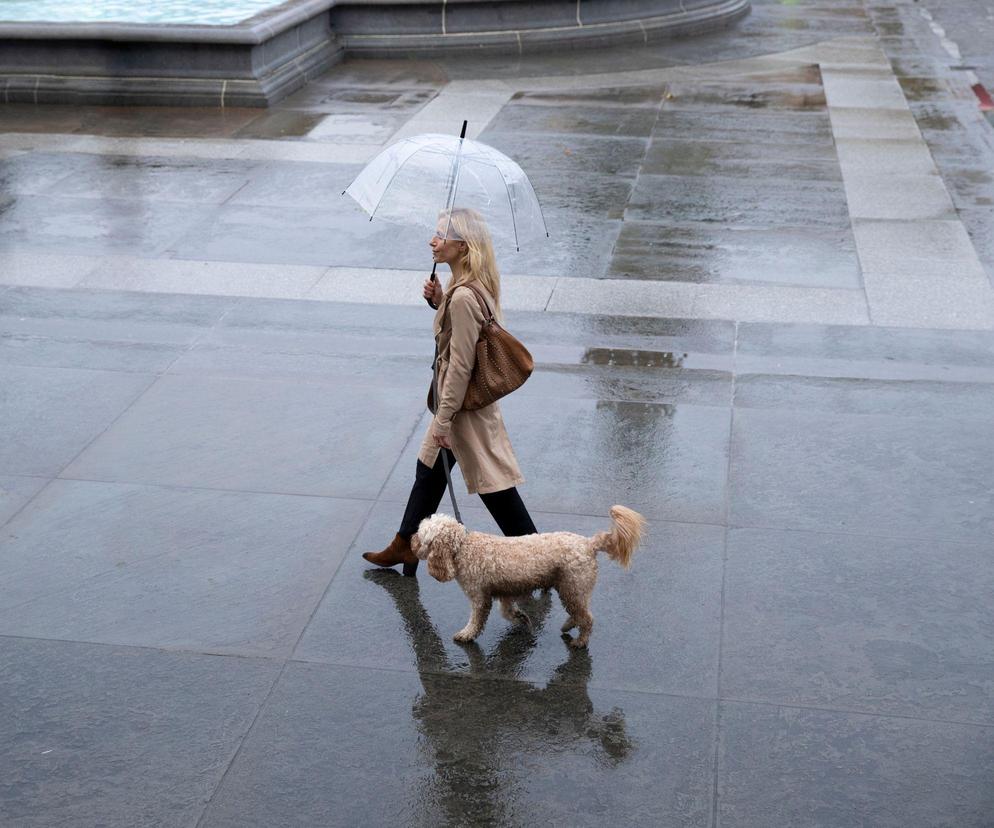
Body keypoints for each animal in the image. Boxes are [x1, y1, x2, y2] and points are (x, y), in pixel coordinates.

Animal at [408, 504, 644, 648]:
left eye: (421, 535)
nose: (411, 541)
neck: (463, 547)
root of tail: (589, 544)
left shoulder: (479, 597)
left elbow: (476, 620)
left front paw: (466, 634)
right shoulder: (504, 591)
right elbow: (507, 612)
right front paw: (521, 618)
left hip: (573, 587)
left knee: (586, 618)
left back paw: (580, 641)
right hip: (571, 589)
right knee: (579, 614)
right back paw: (568, 626)